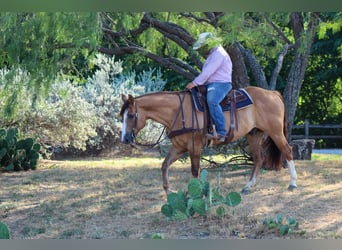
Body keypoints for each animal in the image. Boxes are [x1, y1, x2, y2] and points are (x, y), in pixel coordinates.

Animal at [119, 86, 296, 195]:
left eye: (131, 115)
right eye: (122, 116)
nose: (125, 139)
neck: (178, 111)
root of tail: (272, 93)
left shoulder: (194, 146)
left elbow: (195, 171)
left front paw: (195, 193)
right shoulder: (179, 148)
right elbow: (164, 165)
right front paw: (169, 191)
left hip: (275, 132)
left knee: (287, 151)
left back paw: (293, 183)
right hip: (254, 135)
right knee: (259, 158)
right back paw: (247, 187)